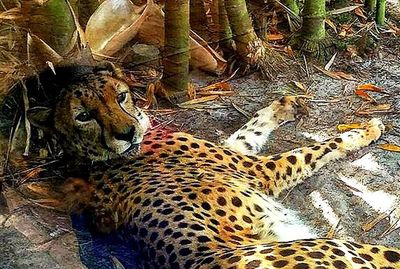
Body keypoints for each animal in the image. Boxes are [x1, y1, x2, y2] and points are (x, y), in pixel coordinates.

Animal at [18, 65, 400, 268]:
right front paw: (364, 131)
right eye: (84, 116)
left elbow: (249, 129)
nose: (126, 133)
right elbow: (315, 148)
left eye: (120, 96)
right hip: (342, 246)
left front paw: (283, 105)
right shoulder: (258, 171)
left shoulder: (237, 152)